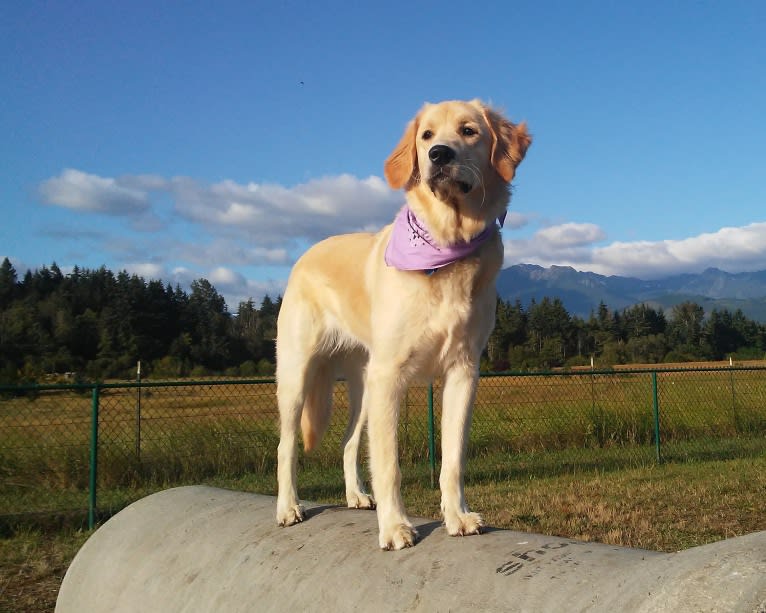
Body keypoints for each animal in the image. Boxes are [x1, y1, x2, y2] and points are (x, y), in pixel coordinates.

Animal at [276, 98, 536, 548]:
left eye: (469, 131)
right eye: (426, 136)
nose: (439, 155)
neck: (446, 245)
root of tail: (306, 255)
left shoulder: (463, 372)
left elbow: (452, 459)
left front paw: (457, 516)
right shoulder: (391, 376)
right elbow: (389, 464)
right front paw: (396, 526)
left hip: (363, 386)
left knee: (348, 442)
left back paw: (356, 495)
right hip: (298, 375)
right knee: (286, 445)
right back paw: (288, 507)